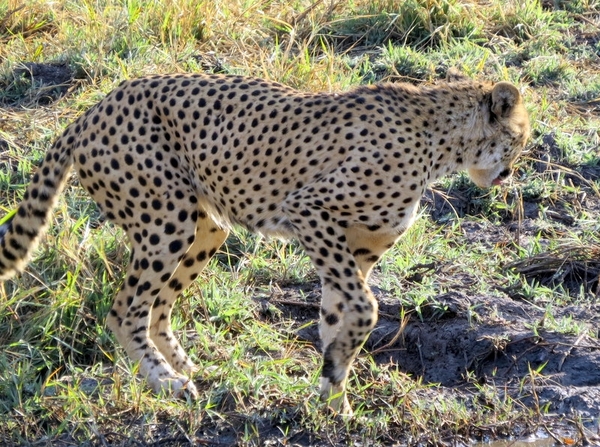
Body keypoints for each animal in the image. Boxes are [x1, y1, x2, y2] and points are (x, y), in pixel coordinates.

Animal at [0, 72, 528, 414]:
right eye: (521, 138)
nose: (508, 176)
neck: (441, 141)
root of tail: (96, 106)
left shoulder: (356, 250)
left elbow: (337, 316)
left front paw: (334, 400)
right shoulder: (309, 211)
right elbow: (365, 309)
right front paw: (335, 390)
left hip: (207, 227)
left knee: (158, 307)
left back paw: (188, 367)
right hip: (166, 221)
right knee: (125, 308)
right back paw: (168, 383)